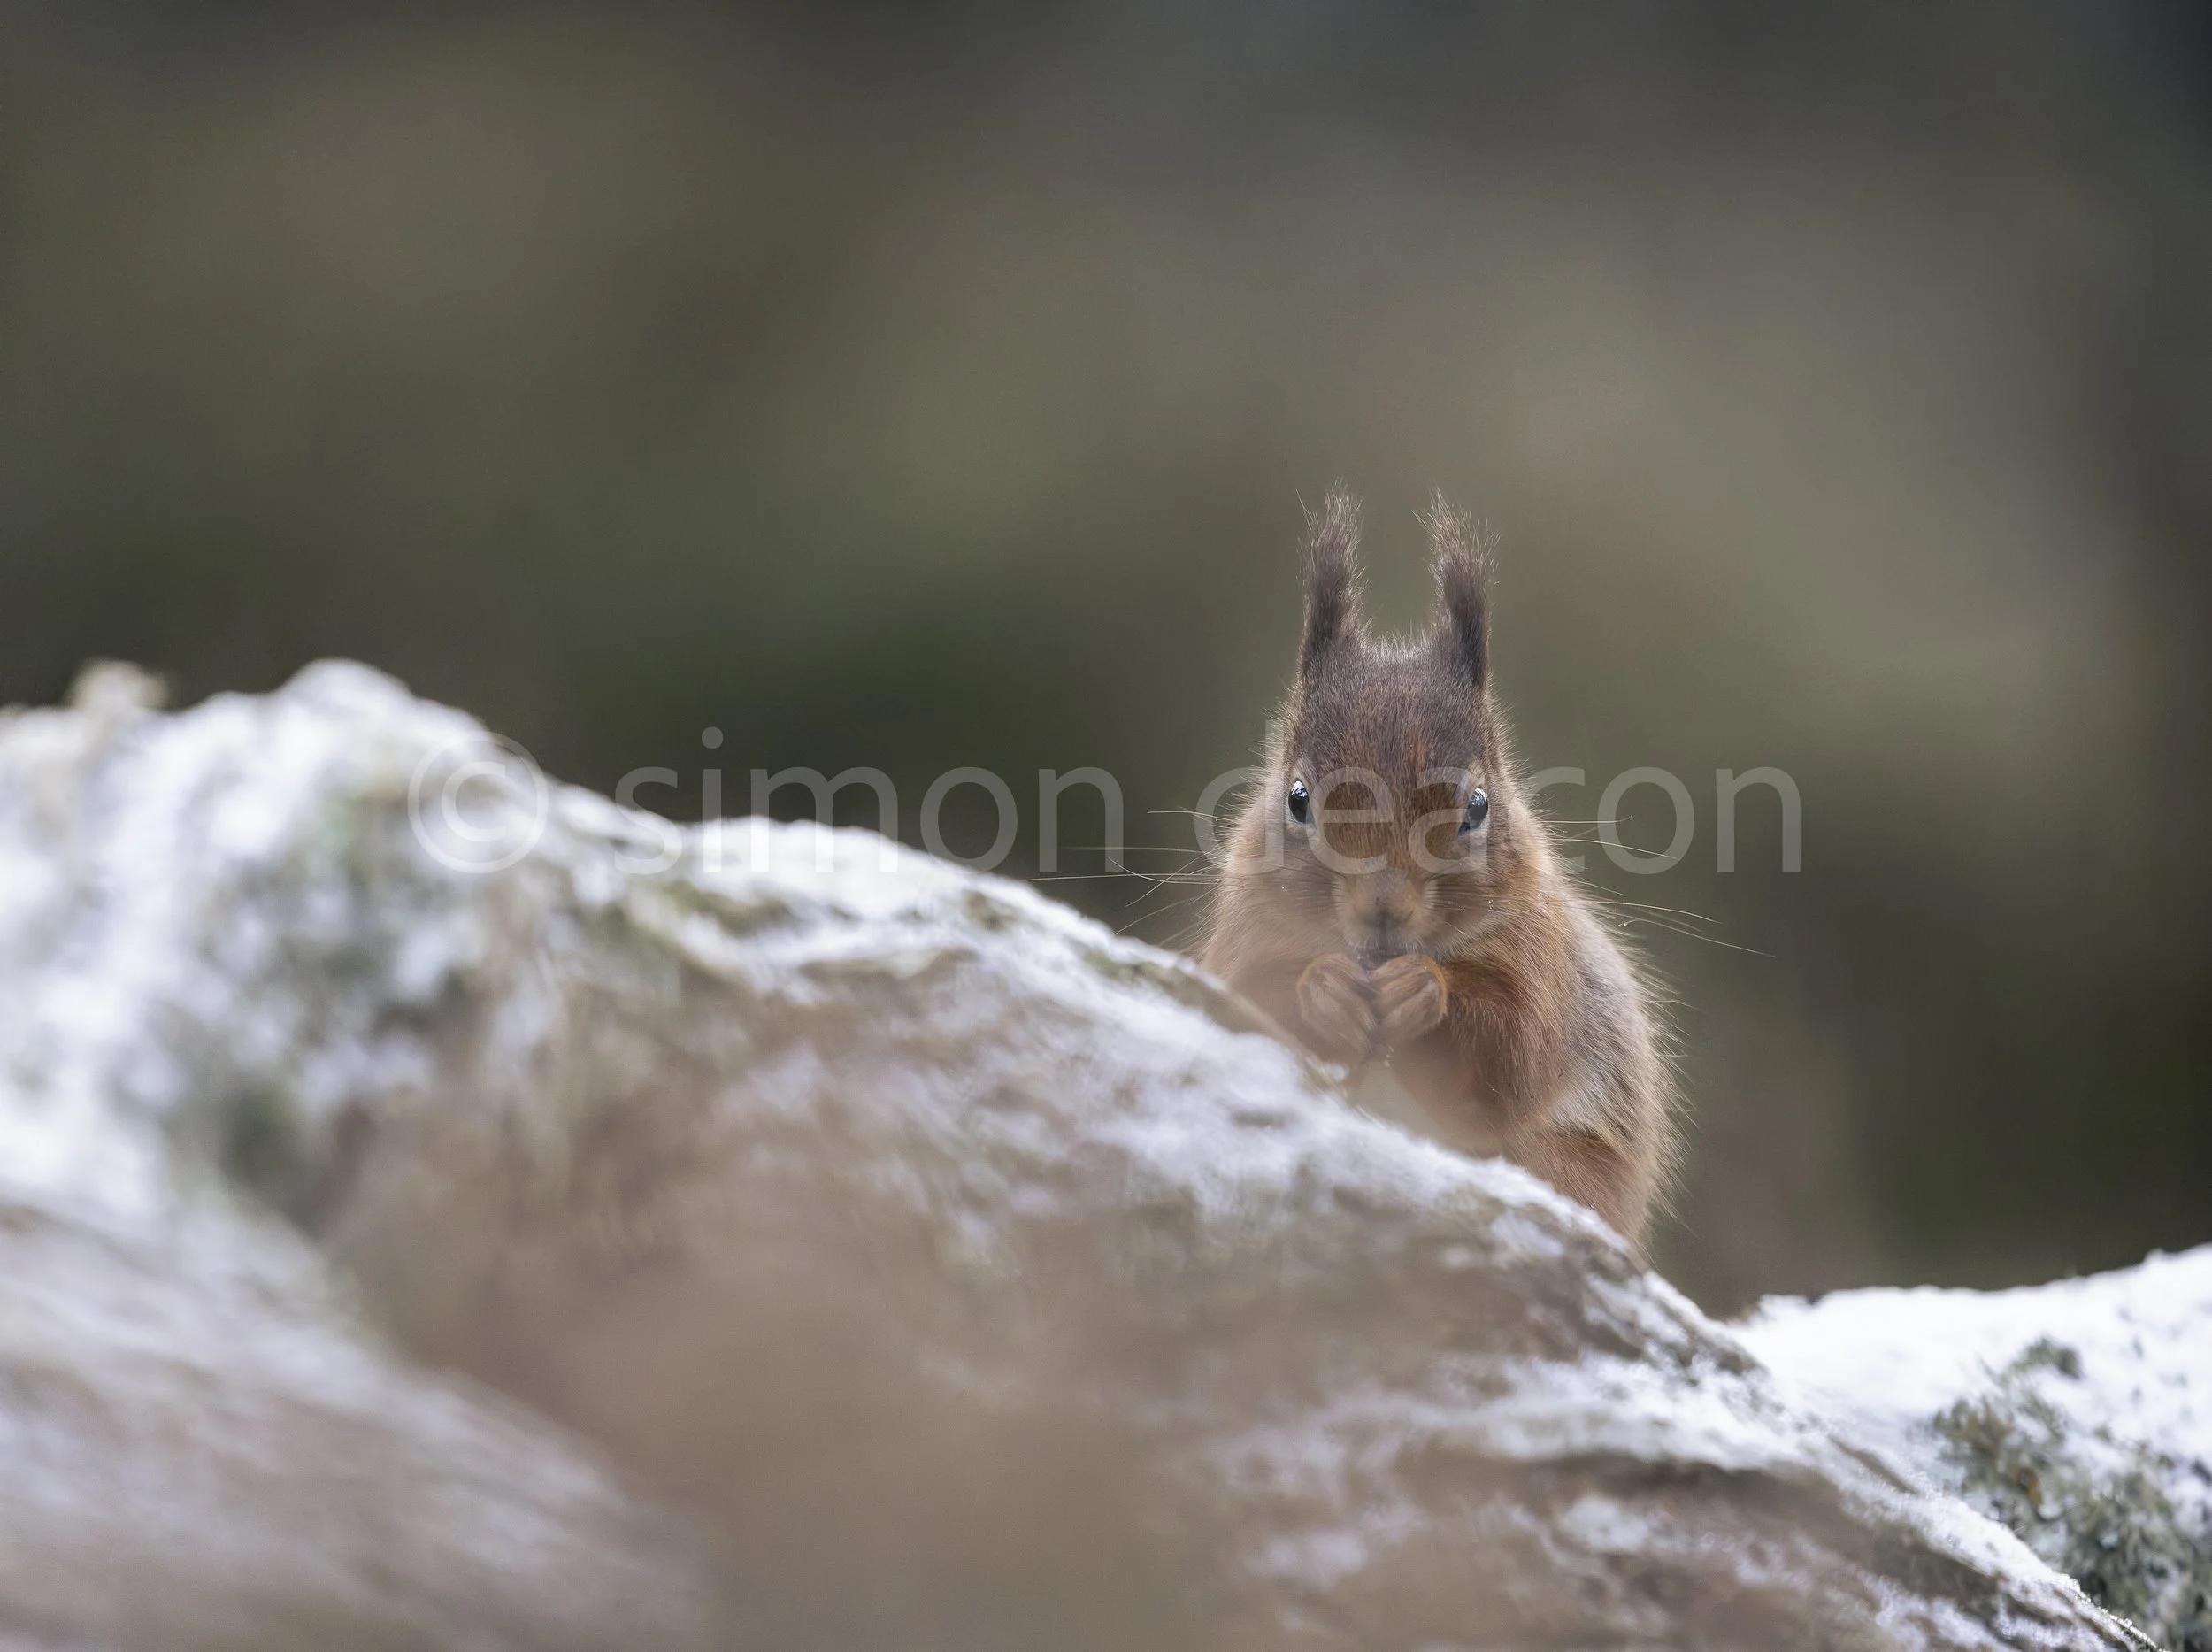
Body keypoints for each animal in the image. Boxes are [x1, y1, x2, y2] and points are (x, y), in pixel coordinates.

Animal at [1200, 488, 1677, 1249]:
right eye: (1297, 799)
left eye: (1477, 807)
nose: (1384, 906)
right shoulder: (1246, 931)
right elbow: (1246, 992)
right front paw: (1323, 990)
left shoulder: (1540, 958)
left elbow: (1512, 1050)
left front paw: (1424, 991)